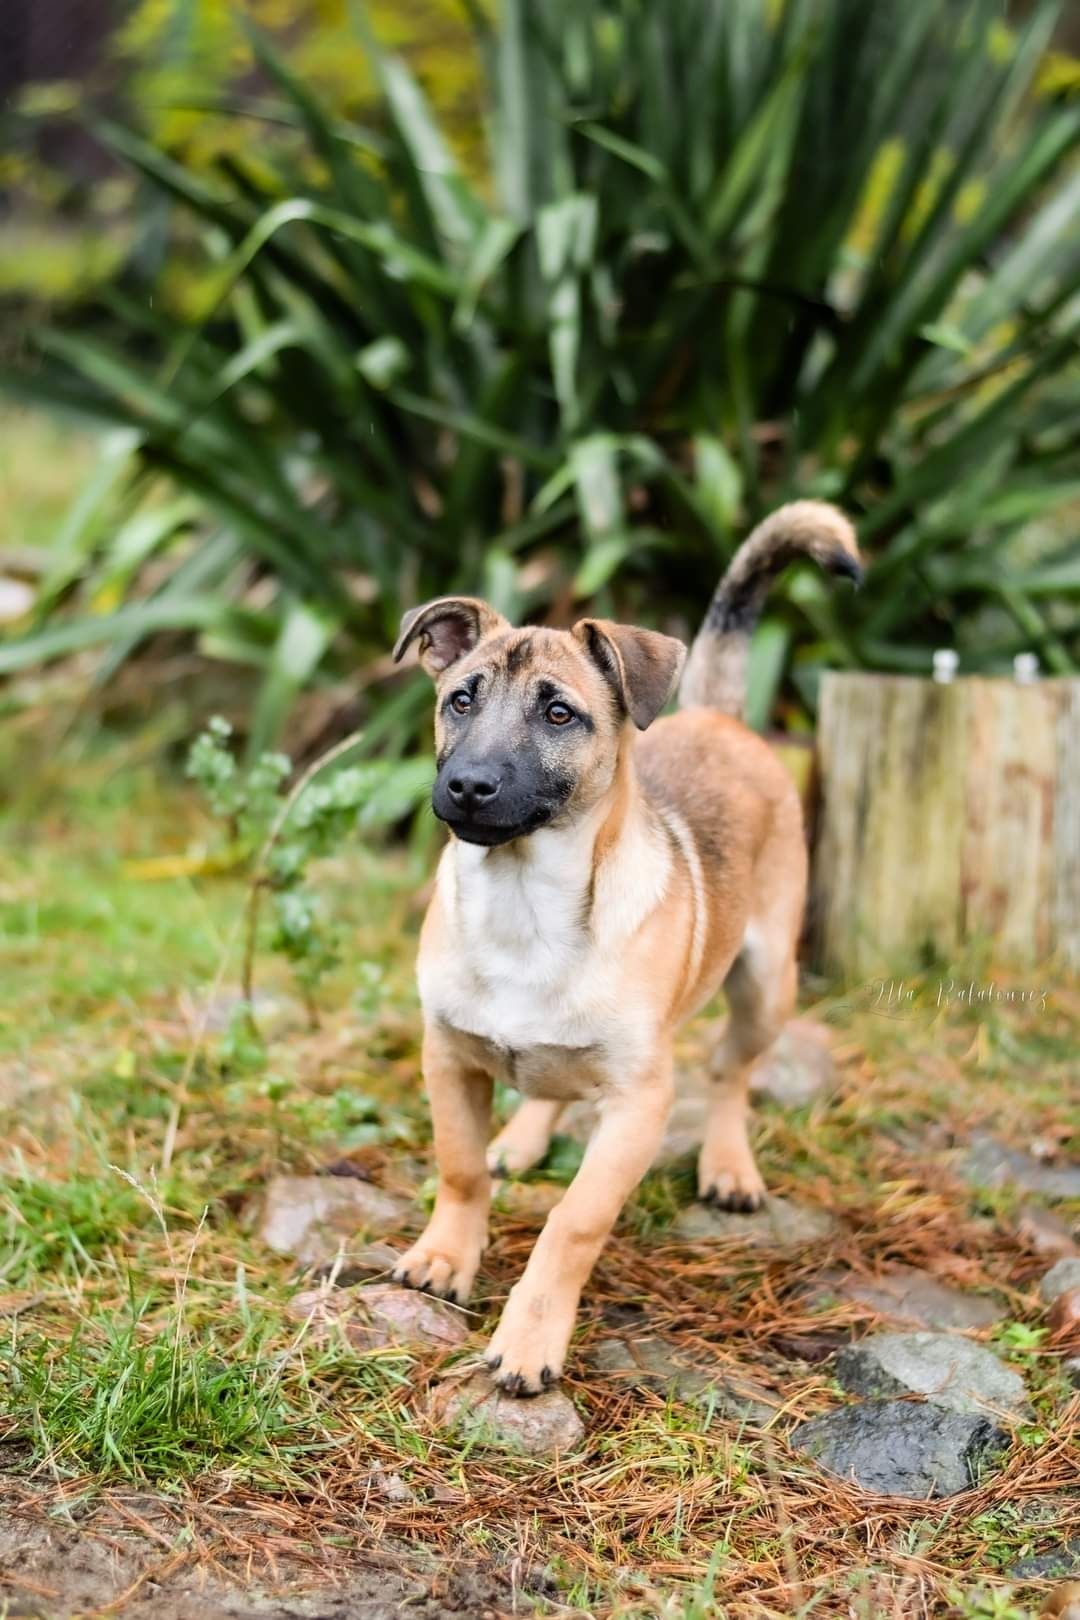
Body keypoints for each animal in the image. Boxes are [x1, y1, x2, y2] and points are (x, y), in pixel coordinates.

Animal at [388, 498, 861, 1399]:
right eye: (460, 700)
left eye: (559, 714)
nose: (467, 786)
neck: (524, 900)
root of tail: (719, 715)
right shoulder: (448, 1057)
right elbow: (459, 1168)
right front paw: (444, 1257)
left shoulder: (639, 1105)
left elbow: (574, 1221)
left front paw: (530, 1336)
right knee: (550, 1084)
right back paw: (523, 1139)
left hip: (765, 985)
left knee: (730, 1073)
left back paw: (727, 1165)